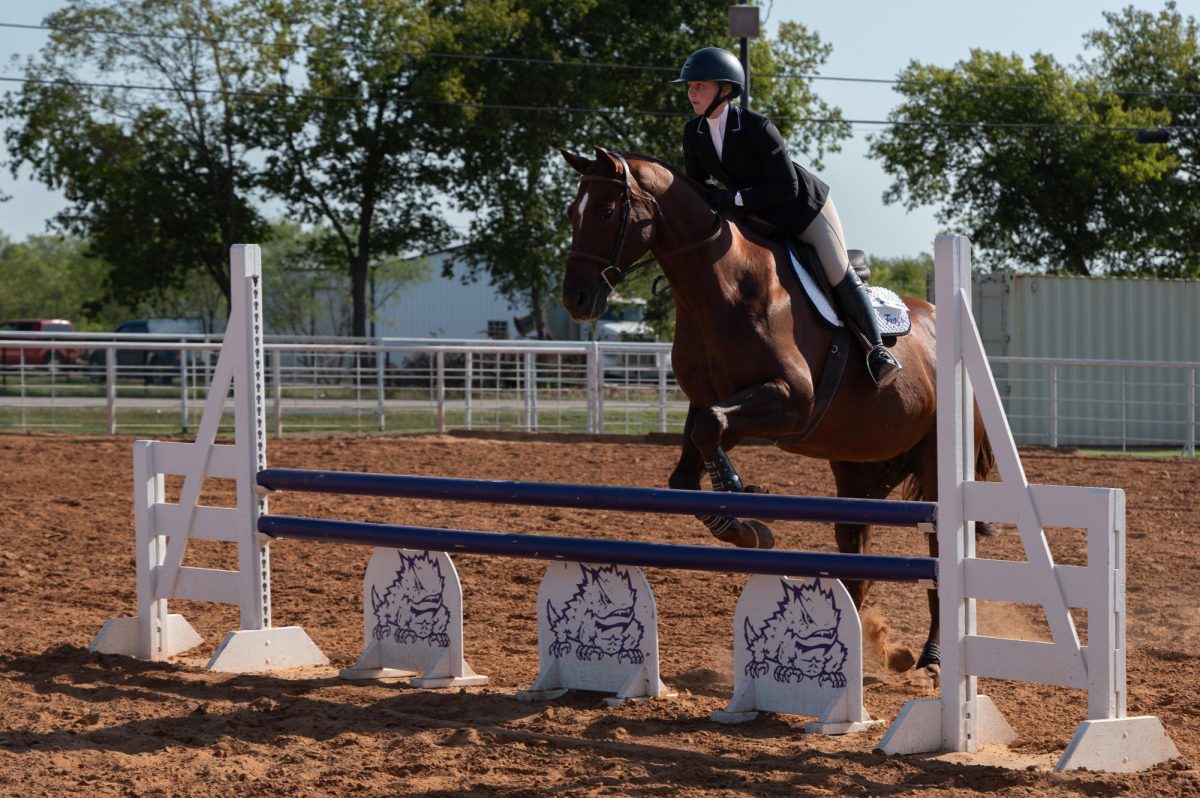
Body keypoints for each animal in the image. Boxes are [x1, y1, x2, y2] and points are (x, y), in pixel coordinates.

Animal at [556, 146, 998, 676]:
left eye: (605, 213)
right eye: (571, 214)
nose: (577, 301)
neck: (721, 287)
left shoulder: (792, 402)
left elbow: (712, 428)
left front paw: (741, 500)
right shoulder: (712, 399)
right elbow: (692, 459)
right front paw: (741, 525)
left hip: (935, 463)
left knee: (937, 548)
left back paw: (933, 655)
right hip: (860, 467)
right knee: (856, 550)